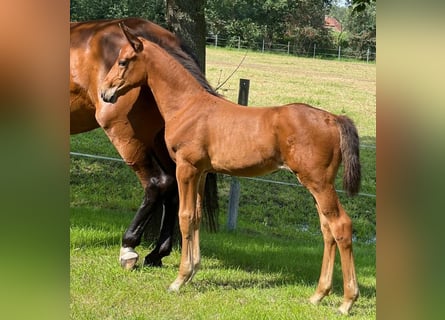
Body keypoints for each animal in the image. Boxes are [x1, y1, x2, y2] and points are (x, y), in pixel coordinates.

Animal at [69, 18, 219, 270]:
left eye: (122, 63)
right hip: (160, 142)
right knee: (174, 189)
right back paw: (157, 253)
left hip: (127, 136)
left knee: (157, 183)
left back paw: (129, 248)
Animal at [99, 23, 360, 316]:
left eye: (123, 61)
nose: (105, 92)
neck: (187, 106)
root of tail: (333, 118)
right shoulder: (201, 172)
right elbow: (197, 215)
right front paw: (193, 272)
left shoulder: (186, 169)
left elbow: (184, 217)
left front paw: (179, 279)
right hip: (314, 184)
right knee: (327, 230)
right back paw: (318, 295)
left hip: (319, 183)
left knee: (341, 226)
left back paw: (347, 301)